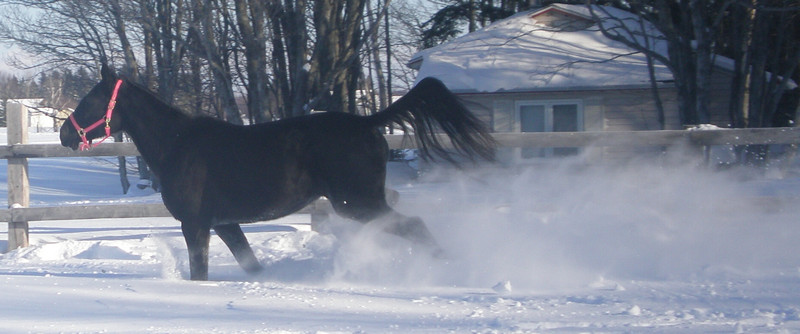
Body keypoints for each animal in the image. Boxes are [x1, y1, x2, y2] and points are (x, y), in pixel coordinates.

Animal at [61, 64, 494, 280]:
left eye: (89, 101)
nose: (65, 133)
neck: (176, 145)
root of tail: (369, 122)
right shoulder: (225, 223)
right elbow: (251, 265)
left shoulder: (195, 224)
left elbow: (200, 271)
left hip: (359, 202)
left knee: (415, 225)